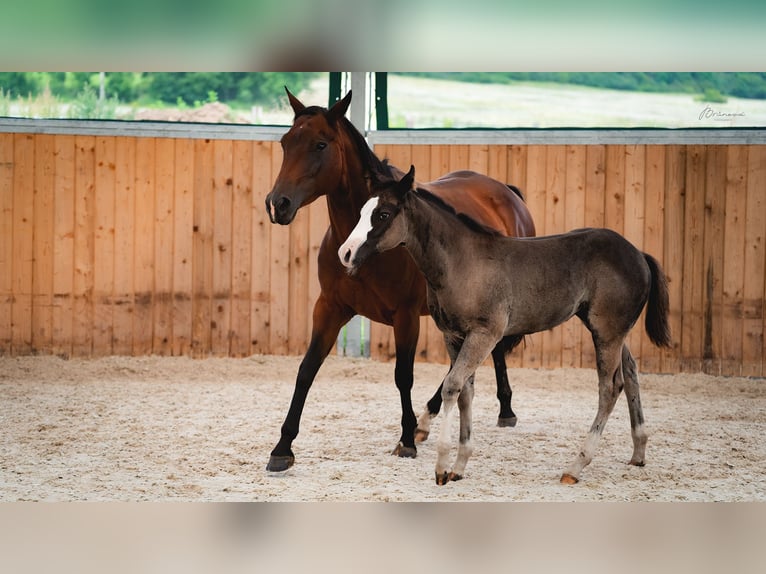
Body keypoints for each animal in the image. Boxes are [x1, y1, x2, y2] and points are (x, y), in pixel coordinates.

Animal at [342, 166, 672, 486]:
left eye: (383, 214)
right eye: (362, 211)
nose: (345, 253)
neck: (462, 262)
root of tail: (638, 254)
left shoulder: (485, 334)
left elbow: (451, 386)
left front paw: (441, 466)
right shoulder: (454, 336)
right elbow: (464, 392)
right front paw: (458, 466)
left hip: (607, 332)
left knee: (610, 387)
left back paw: (576, 466)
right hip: (612, 332)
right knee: (630, 373)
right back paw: (638, 451)